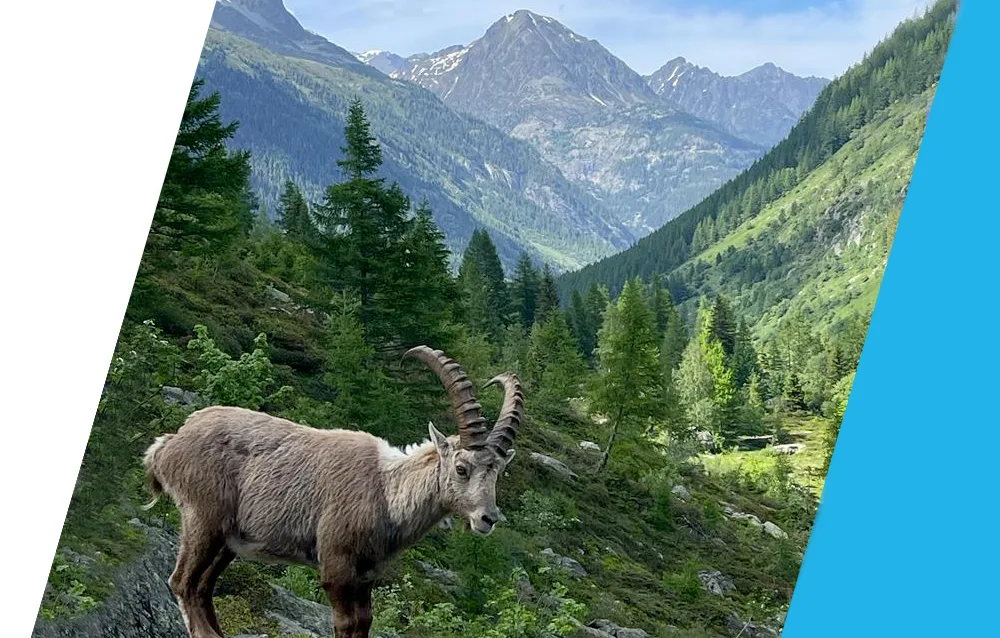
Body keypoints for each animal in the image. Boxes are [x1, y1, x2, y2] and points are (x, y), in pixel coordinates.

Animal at [141, 346, 524, 638]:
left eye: (498, 472)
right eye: (461, 468)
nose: (488, 518)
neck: (385, 490)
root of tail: (168, 444)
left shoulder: (366, 574)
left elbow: (364, 623)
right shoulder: (336, 567)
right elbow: (345, 624)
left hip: (228, 541)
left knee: (202, 587)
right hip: (203, 518)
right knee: (183, 582)